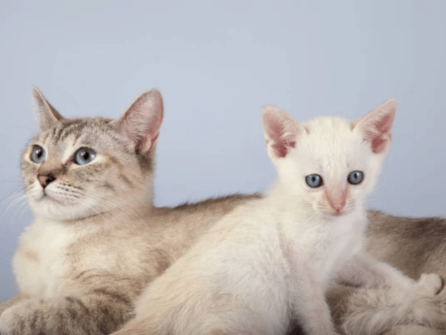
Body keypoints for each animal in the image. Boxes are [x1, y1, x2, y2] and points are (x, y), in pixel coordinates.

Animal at [0, 88, 262, 335]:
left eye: (84, 156)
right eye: (38, 154)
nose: (43, 178)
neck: (52, 235)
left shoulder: (112, 304)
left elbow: (28, 315)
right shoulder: (30, 292)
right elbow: (12, 304)